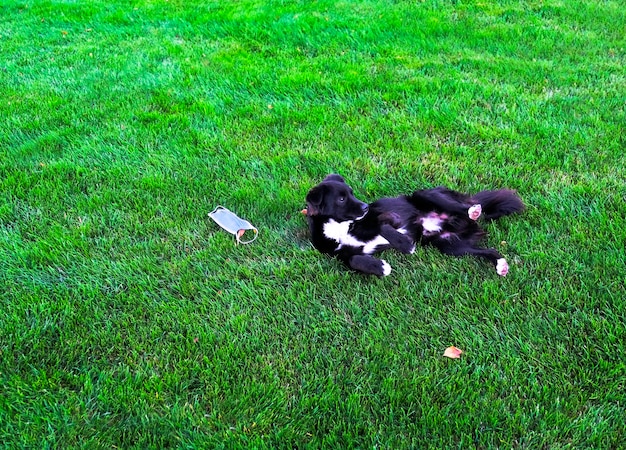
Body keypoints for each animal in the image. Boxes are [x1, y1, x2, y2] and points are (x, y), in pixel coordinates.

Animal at [302, 174, 520, 276]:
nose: (365, 206)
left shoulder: (388, 216)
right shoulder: (341, 255)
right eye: (341, 199)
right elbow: (355, 260)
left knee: (466, 206)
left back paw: (473, 210)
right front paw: (380, 267)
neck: (340, 227)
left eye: (351, 193)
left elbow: (382, 226)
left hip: (425, 195)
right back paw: (500, 264)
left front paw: (404, 244)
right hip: (450, 245)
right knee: (490, 250)